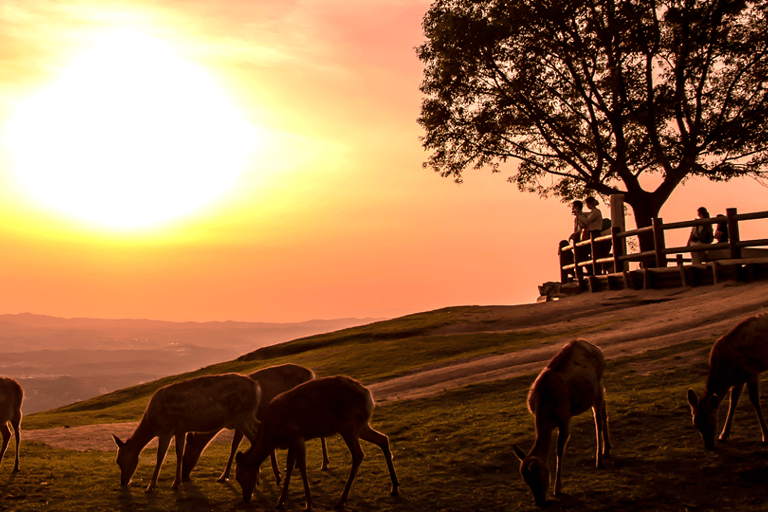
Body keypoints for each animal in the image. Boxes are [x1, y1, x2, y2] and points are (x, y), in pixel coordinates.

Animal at [111, 372, 260, 492]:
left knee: (256, 438)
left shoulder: (166, 429)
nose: (123, 481)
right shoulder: (180, 430)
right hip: (246, 417)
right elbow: (179, 453)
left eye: (119, 461)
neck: (151, 424)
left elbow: (160, 456)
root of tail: (257, 388)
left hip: (242, 415)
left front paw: (150, 486)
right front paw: (176, 483)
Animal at [184, 362, 332, 482]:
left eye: (186, 451)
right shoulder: (240, 424)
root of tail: (311, 374)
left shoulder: (242, 421)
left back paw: (324, 463)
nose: (184, 475)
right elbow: (235, 445)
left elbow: (235, 445)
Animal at [234, 374, 402, 510]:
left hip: (348, 425)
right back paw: (394, 487)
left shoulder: (296, 434)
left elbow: (301, 467)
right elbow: (290, 466)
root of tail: (369, 396)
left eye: (238, 476)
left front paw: (308, 504)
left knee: (359, 454)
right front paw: (280, 502)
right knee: (383, 439)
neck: (271, 435)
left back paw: (341, 501)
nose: (246, 498)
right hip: (361, 426)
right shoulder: (291, 442)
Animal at [512, 340, 608, 508]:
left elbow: (559, 451)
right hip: (598, 390)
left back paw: (599, 459)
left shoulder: (564, 418)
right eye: (526, 481)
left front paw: (558, 489)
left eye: (537, 478)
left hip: (596, 389)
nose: (539, 502)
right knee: (604, 408)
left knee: (598, 417)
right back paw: (607, 450)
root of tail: (597, 348)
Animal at [688, 314, 768, 450]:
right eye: (695, 425)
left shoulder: (752, 370)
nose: (708, 446)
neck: (727, 374)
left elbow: (755, 401)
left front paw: (765, 437)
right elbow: (733, 402)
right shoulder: (738, 380)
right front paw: (723, 435)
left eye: (709, 419)